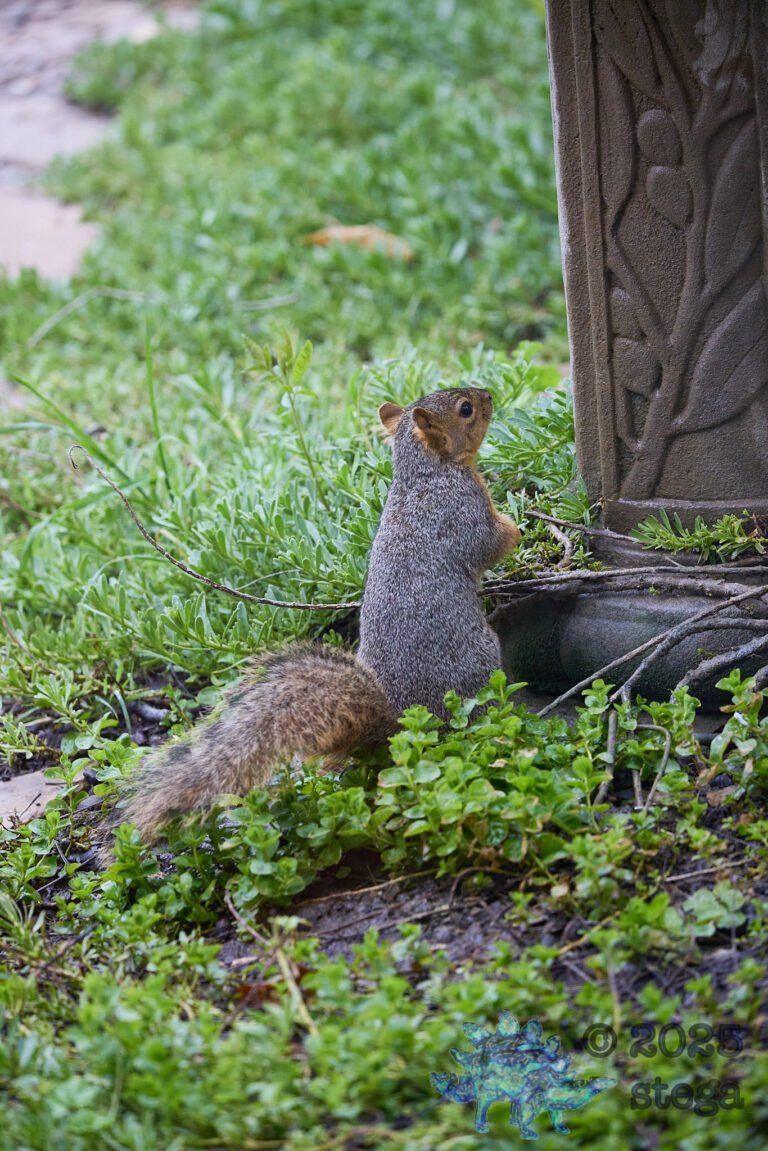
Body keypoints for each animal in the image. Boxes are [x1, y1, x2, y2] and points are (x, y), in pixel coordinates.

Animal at [100, 386, 520, 856]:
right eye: (466, 409)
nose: (488, 395)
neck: (426, 473)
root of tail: (401, 722)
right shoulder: (462, 511)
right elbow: (492, 541)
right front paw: (516, 526)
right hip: (479, 669)